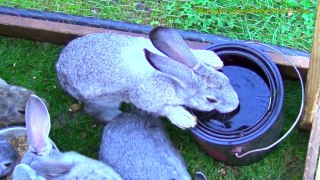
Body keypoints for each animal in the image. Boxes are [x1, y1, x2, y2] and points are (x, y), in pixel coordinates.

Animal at [55, 25, 240, 129]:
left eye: (226, 80)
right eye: (211, 100)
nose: (236, 104)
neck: (174, 79)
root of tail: (59, 66)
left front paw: (213, 59)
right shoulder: (146, 98)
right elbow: (165, 108)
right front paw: (185, 119)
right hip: (103, 100)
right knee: (96, 111)